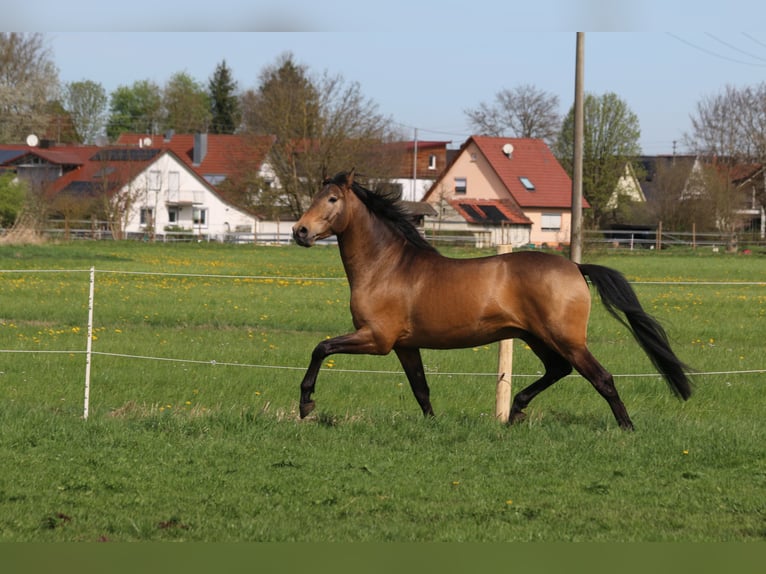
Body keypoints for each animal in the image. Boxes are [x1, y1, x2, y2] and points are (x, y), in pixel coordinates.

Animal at [292, 172, 688, 432]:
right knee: (559, 369)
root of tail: (575, 267)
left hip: (566, 338)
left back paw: (626, 428)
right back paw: (515, 413)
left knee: (601, 377)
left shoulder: (376, 338)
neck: (386, 266)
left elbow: (320, 348)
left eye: (332, 199)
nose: (300, 231)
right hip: (536, 337)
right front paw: (433, 425)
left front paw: (306, 405)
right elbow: (420, 388)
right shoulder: (404, 345)